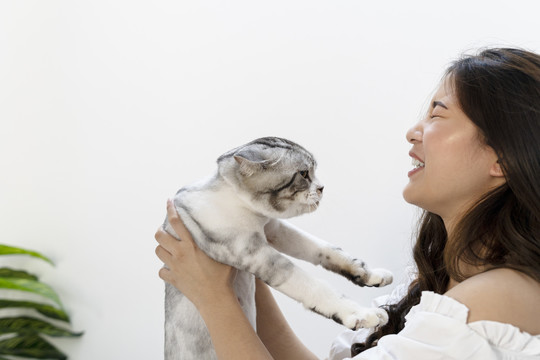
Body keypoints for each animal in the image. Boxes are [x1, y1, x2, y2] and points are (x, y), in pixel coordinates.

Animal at [160, 136, 392, 358]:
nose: (322, 188)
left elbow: (325, 249)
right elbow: (314, 285)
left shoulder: (274, 229)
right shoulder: (257, 253)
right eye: (303, 173)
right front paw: (362, 314)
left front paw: (371, 274)